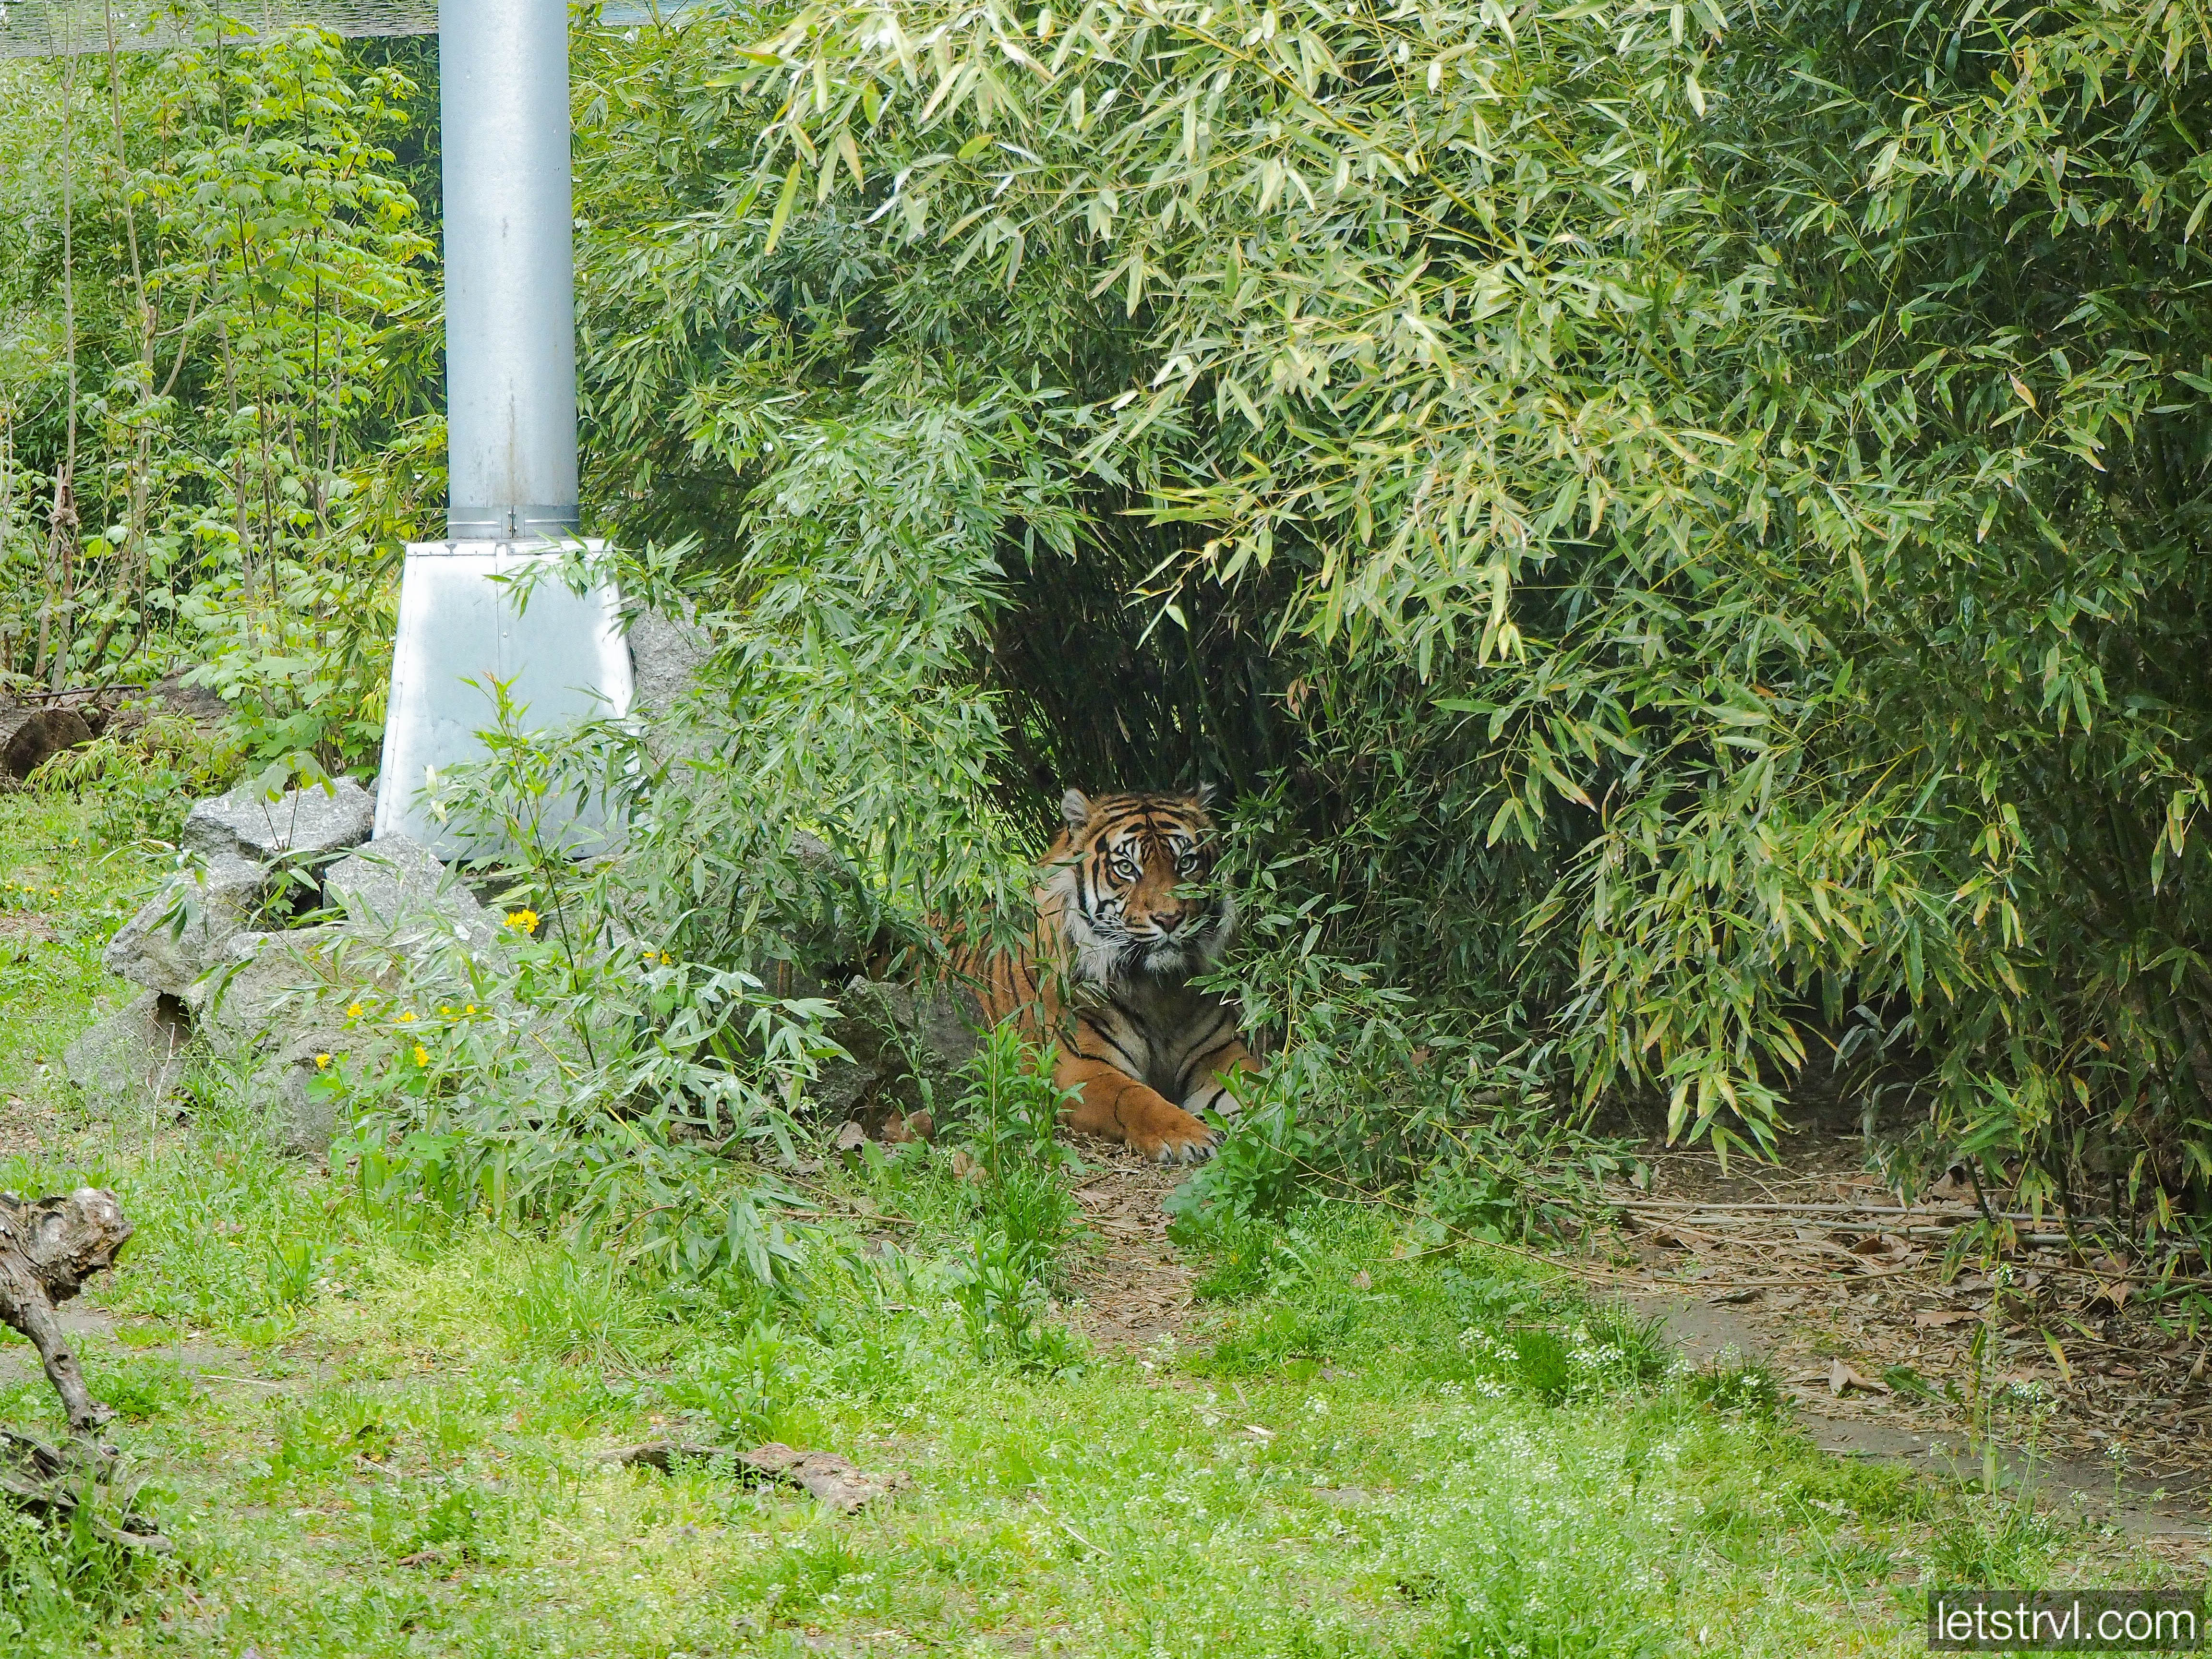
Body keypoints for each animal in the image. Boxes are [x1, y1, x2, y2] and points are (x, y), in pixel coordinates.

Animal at [973, 792, 1265, 1168]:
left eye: (1186, 863)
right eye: (1126, 868)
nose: (1169, 919)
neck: (1159, 991)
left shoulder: (1218, 1053)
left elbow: (1257, 1083)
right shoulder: (1081, 1068)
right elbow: (1135, 1098)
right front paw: (1189, 1136)